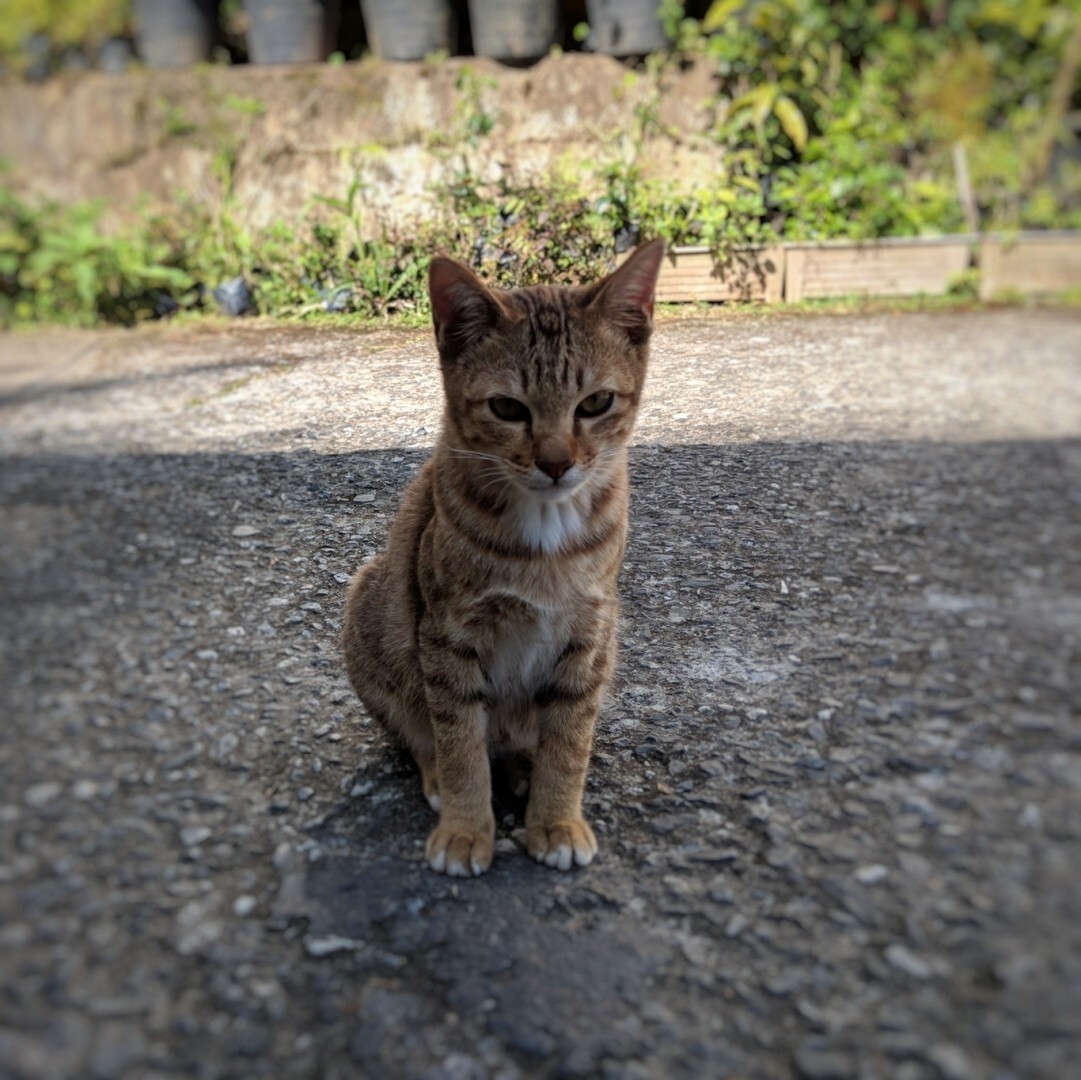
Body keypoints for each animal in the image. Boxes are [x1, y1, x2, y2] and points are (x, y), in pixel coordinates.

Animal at [343, 238, 665, 877]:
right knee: (423, 735)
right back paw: (442, 777)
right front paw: (466, 828)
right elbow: (460, 740)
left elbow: (570, 742)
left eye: (596, 402)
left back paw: (521, 769)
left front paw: (557, 819)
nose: (556, 462)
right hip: (369, 612)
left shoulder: (590, 634)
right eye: (507, 408)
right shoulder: (447, 636)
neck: (545, 531)